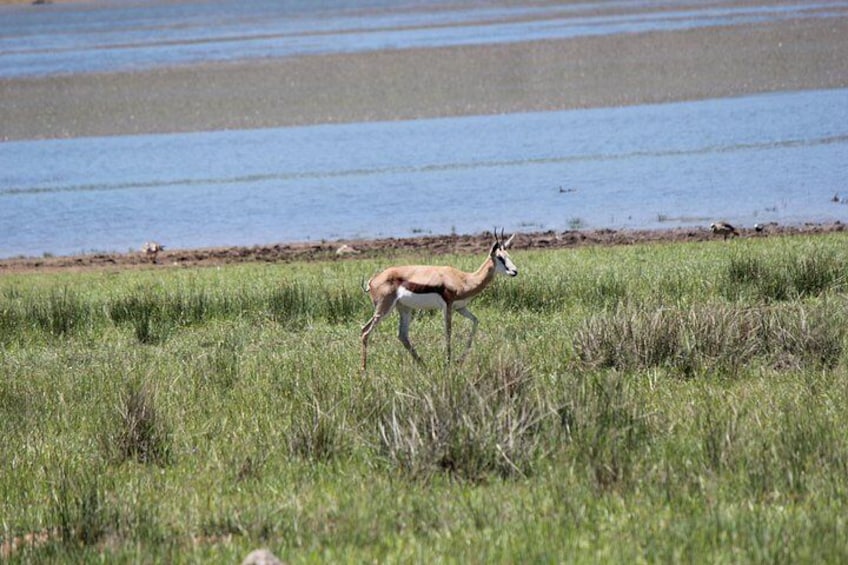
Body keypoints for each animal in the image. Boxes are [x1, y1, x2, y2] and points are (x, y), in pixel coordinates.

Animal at [360, 231, 518, 371]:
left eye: (508, 255)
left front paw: (459, 360)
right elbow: (448, 332)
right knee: (365, 331)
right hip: (383, 309)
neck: (464, 280)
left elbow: (475, 321)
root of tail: (373, 280)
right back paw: (364, 370)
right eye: (499, 257)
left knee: (402, 336)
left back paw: (424, 366)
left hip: (404, 309)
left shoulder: (460, 308)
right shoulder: (447, 306)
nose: (514, 271)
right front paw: (448, 363)